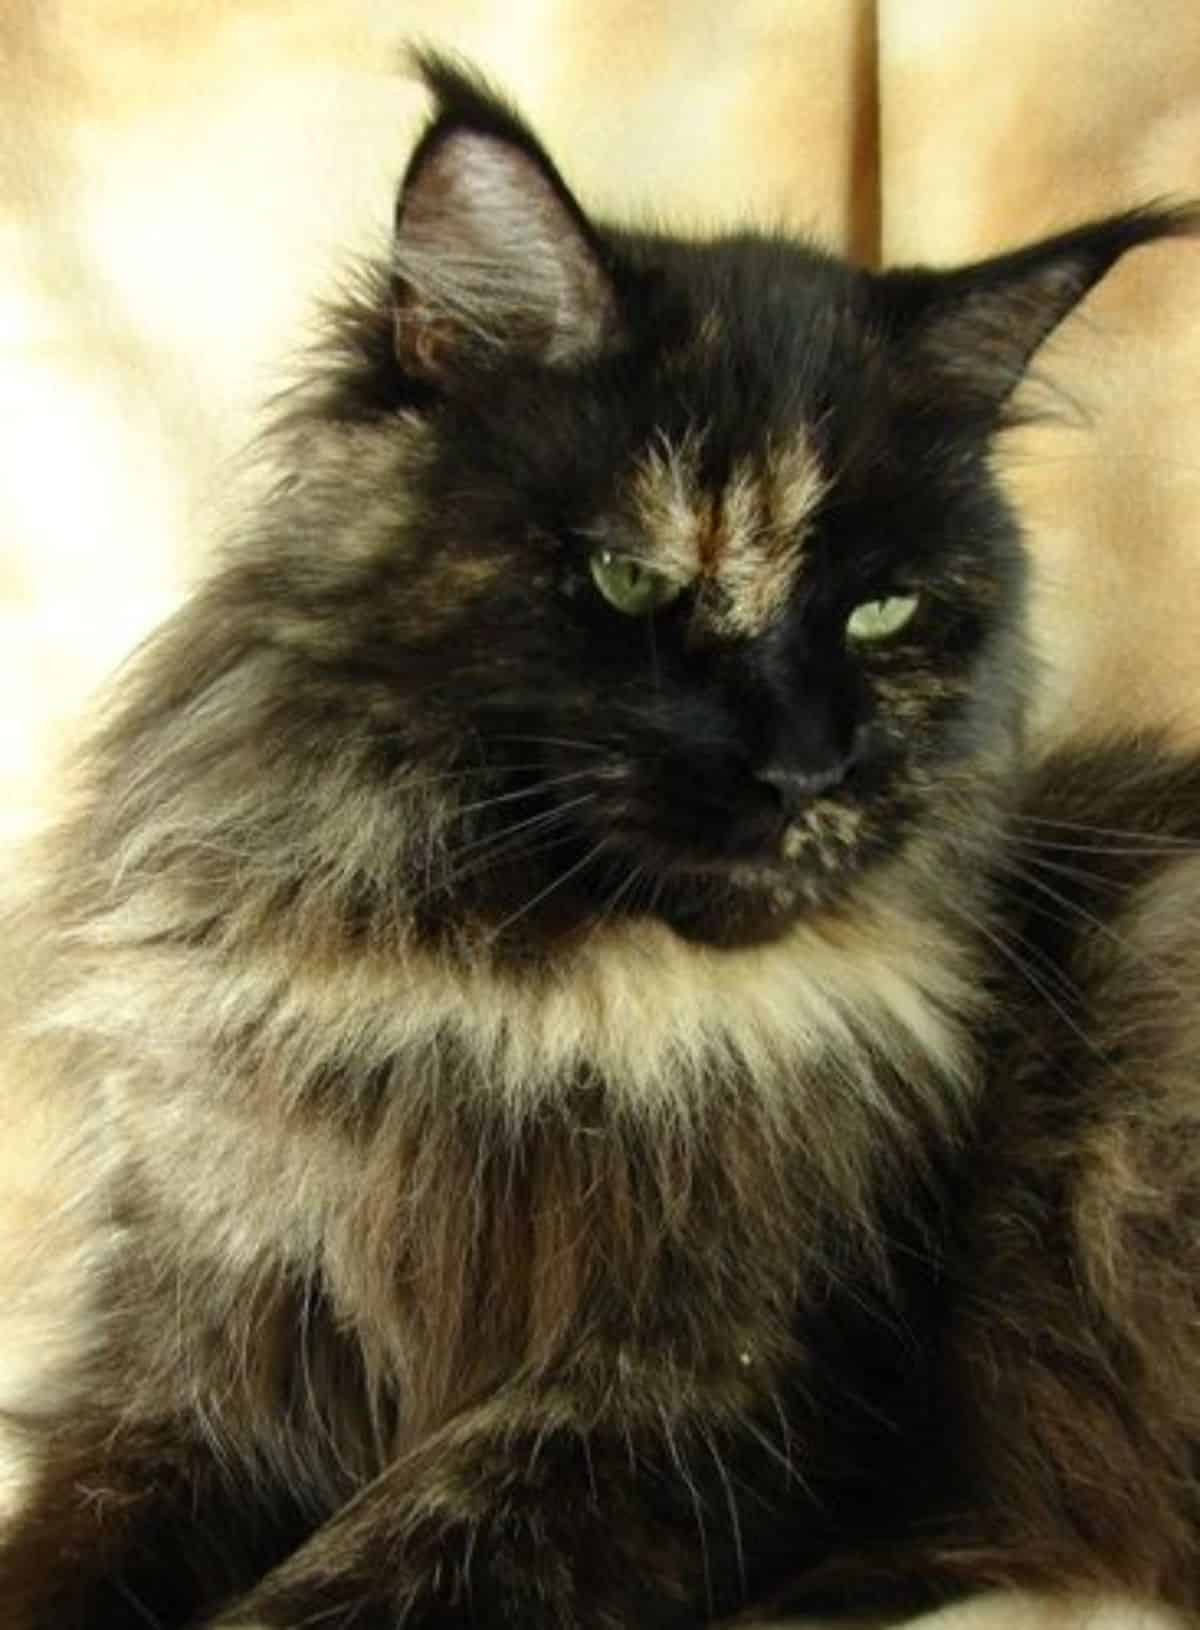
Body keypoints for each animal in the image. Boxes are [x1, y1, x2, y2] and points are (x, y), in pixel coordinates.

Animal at [2, 50, 1200, 1630]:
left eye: (883, 614)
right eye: (635, 577)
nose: (805, 766)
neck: (524, 1012)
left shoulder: (691, 1408)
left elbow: (357, 1577)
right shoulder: (195, 1350)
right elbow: (64, 1550)